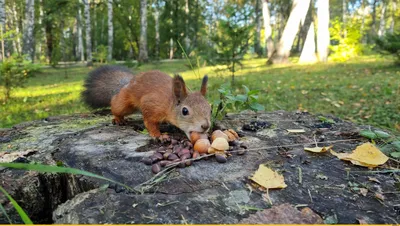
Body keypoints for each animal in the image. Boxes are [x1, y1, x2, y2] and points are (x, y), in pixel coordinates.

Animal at [82, 65, 212, 139]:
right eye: (185, 111)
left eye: (210, 109)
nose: (205, 126)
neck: (169, 103)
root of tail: (129, 81)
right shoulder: (151, 104)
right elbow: (149, 123)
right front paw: (159, 135)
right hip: (125, 103)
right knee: (115, 104)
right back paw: (118, 119)